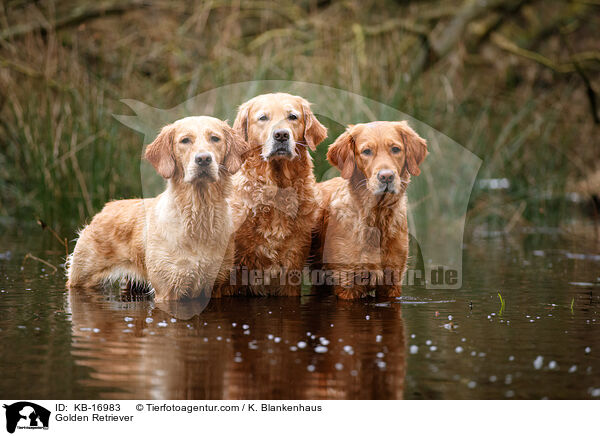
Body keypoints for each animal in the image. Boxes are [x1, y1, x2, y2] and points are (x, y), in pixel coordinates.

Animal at [67, 116, 248, 300]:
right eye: (185, 140)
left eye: (215, 138)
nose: (203, 159)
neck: (199, 214)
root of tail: (104, 209)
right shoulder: (168, 289)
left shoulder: (217, 285)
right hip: (81, 277)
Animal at [312, 122, 428, 300]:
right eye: (366, 151)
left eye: (395, 149)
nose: (386, 176)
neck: (377, 217)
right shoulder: (346, 282)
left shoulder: (392, 282)